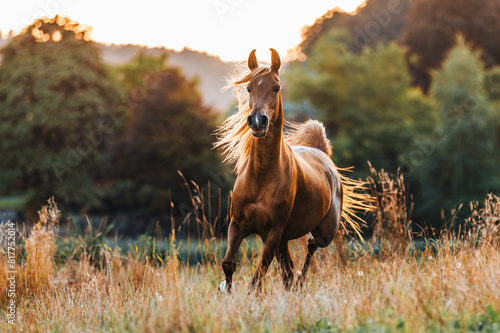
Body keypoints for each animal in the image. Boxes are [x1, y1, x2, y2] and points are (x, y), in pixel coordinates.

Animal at [215, 48, 372, 292]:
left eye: (276, 87)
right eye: (249, 88)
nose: (258, 121)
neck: (261, 176)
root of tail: (321, 151)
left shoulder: (273, 232)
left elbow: (258, 276)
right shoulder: (237, 225)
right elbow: (229, 263)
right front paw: (228, 293)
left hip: (323, 232)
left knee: (310, 246)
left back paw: (300, 282)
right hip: (284, 237)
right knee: (287, 268)